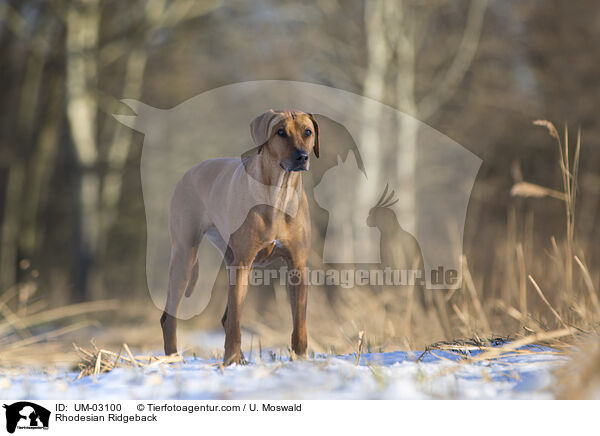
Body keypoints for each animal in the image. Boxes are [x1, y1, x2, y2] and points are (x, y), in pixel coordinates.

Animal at [159, 109, 318, 364]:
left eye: (308, 132)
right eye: (280, 132)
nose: (302, 157)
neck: (278, 193)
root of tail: (190, 171)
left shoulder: (297, 265)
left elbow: (299, 321)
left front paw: (301, 358)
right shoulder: (243, 262)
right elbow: (235, 322)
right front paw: (230, 360)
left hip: (230, 259)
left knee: (226, 317)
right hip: (185, 256)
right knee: (170, 317)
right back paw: (173, 357)